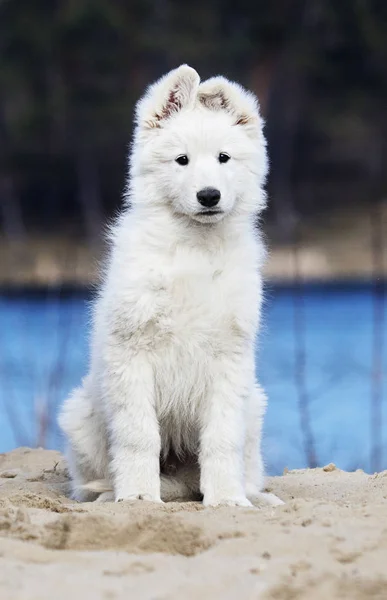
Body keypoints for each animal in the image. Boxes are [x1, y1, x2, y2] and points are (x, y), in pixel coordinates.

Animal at [58, 64, 282, 506]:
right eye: (182, 160)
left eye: (223, 158)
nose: (209, 195)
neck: (194, 247)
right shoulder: (131, 353)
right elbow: (138, 435)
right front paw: (138, 497)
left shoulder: (229, 358)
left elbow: (222, 439)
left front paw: (227, 500)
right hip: (81, 416)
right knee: (95, 479)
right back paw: (111, 494)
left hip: (255, 405)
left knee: (240, 469)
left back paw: (255, 496)